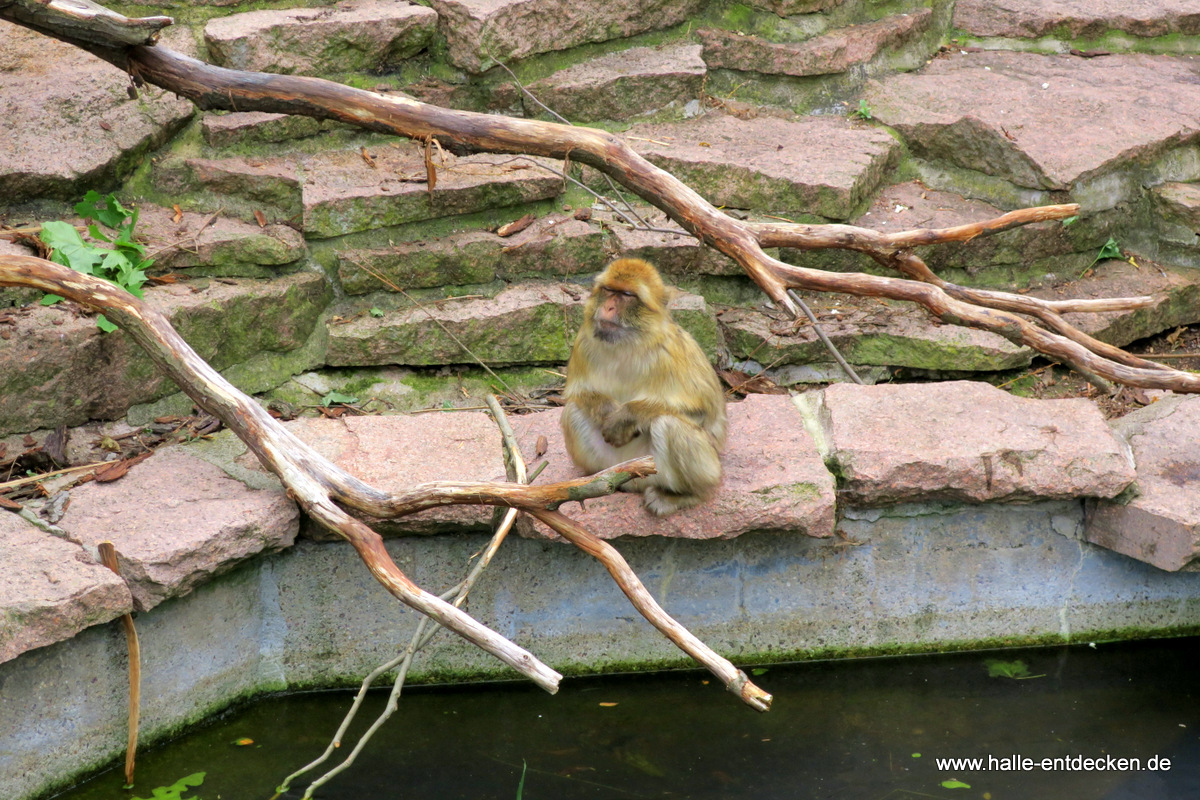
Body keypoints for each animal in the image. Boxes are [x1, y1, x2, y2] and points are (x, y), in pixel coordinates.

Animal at [559, 260, 724, 515]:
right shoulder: (584, 342)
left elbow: (705, 412)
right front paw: (608, 412)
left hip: (692, 470)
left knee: (670, 424)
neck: (628, 343)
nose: (607, 307)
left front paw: (625, 417)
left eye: (627, 295)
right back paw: (592, 483)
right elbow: (577, 394)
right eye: (609, 290)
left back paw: (687, 495)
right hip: (612, 465)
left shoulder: (672, 351)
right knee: (573, 411)